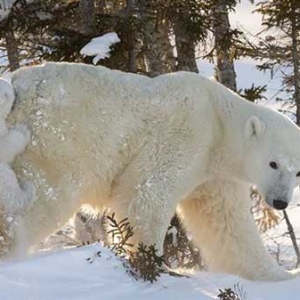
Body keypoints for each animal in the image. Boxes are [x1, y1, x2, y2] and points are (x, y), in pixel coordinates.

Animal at [3, 62, 300, 282]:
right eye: (273, 163)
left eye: (297, 172)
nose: (280, 202)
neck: (219, 122)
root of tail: (15, 83)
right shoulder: (187, 134)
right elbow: (147, 193)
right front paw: (157, 264)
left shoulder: (216, 176)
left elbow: (227, 224)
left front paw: (279, 276)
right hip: (58, 142)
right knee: (43, 197)